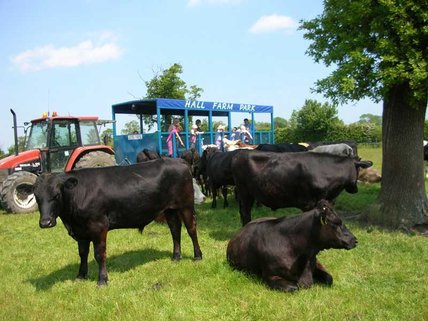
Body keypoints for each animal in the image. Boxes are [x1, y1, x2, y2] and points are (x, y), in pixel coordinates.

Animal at [33, 158, 202, 284]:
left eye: (56, 195)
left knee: (191, 229)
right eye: (36, 196)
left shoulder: (99, 226)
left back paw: (197, 256)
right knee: (175, 230)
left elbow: (99, 254)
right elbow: (82, 253)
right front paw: (81, 276)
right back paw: (176, 257)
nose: (46, 222)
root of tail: (179, 160)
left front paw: (102, 280)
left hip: (186, 205)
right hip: (169, 209)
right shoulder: (81, 230)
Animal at [231, 151, 372, 224]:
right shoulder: (308, 203)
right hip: (244, 192)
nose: (354, 189)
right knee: (245, 212)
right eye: (359, 169)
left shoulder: (329, 200)